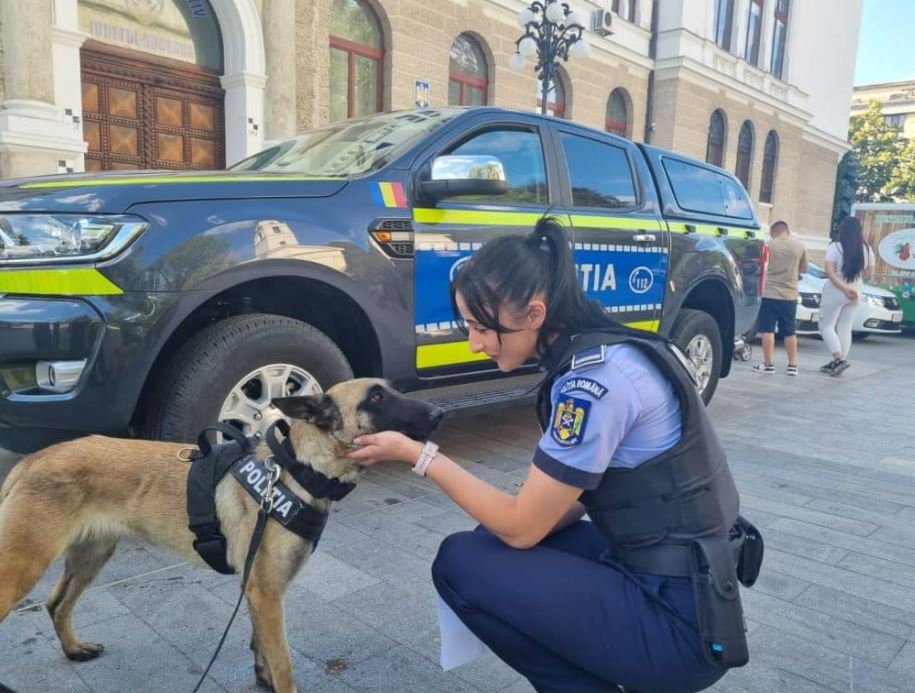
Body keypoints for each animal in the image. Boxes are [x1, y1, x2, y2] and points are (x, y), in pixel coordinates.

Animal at [0, 378, 446, 692]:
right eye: (376, 398)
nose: (439, 412)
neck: (297, 471)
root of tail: (33, 459)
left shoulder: (258, 590)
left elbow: (260, 646)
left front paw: (262, 678)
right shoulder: (266, 591)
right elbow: (283, 661)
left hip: (91, 555)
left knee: (56, 603)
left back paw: (74, 650)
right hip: (22, 567)